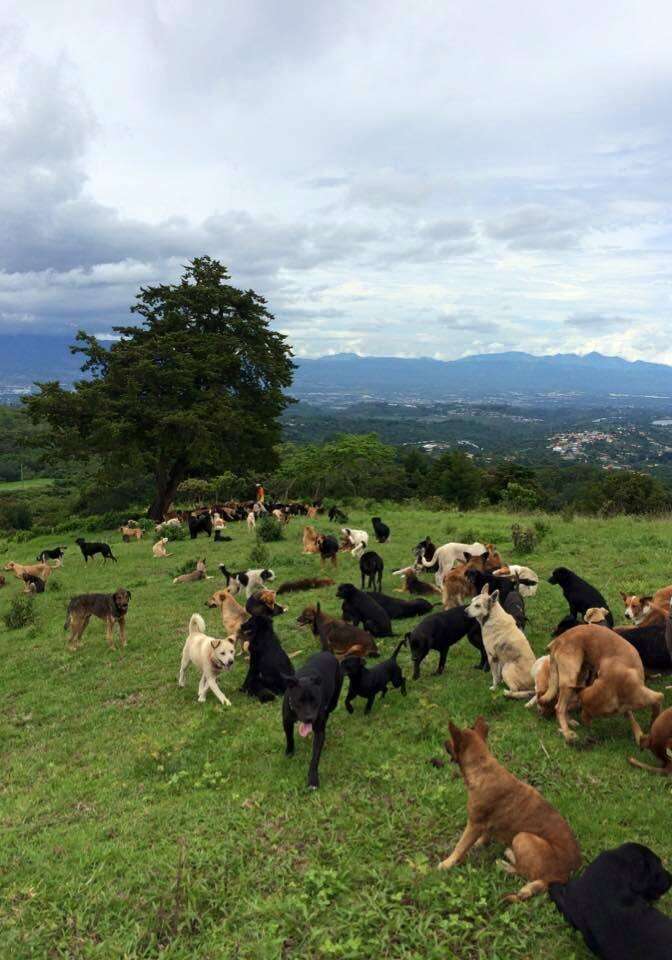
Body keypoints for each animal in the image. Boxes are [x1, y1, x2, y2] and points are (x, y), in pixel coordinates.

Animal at [280, 648, 342, 792]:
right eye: (299, 701)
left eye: (315, 701)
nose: (309, 718)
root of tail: (327, 652)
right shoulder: (286, 721)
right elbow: (289, 737)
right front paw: (290, 752)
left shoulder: (319, 731)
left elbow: (315, 758)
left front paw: (312, 780)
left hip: (334, 699)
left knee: (329, 709)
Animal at [438, 716, 580, 904]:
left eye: (451, 740)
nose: (443, 742)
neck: (481, 767)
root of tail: (563, 877)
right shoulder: (484, 824)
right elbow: (482, 838)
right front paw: (479, 844)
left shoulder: (474, 823)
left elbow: (460, 846)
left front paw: (447, 863)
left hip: (522, 837)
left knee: (525, 872)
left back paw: (505, 863)